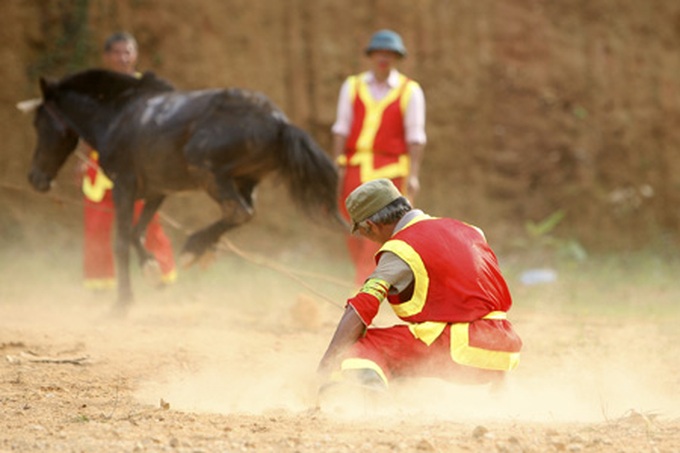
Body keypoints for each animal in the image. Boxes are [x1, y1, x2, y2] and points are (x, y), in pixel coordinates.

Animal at [24, 69, 341, 314]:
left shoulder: (123, 186)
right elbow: (137, 233)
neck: (118, 115)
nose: (35, 178)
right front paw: (152, 272)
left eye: (39, 122)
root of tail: (279, 123)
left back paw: (193, 247)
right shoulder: (156, 192)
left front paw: (122, 303)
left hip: (208, 172)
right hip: (246, 181)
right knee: (243, 213)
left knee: (238, 211)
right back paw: (199, 249)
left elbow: (121, 241)